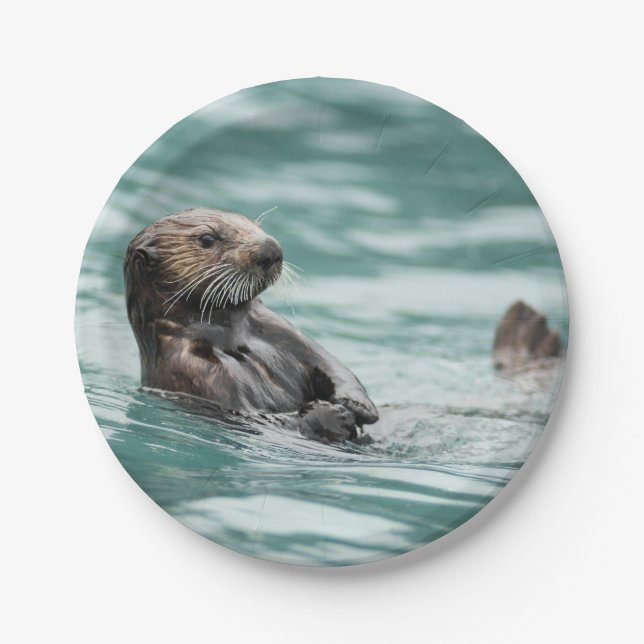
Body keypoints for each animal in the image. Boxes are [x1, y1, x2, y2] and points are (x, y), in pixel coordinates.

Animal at [124, 207, 379, 443]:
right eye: (207, 239)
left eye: (256, 225)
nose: (271, 248)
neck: (232, 337)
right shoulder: (193, 369)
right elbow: (255, 418)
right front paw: (333, 415)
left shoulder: (279, 329)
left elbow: (331, 365)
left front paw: (356, 405)